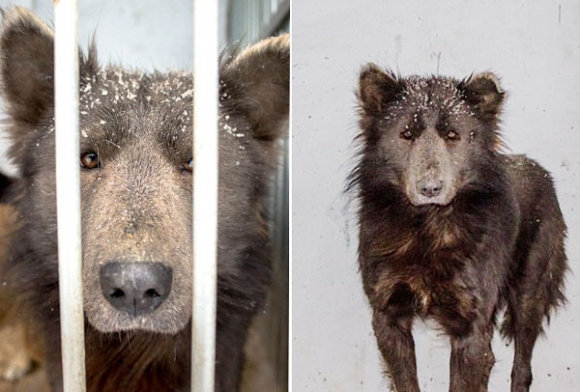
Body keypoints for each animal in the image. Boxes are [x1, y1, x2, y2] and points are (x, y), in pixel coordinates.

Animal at [348, 65, 568, 392]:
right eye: (406, 134)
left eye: (453, 135)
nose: (430, 188)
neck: (427, 228)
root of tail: (542, 172)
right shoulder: (388, 318)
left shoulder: (470, 326)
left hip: (530, 293)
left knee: (522, 368)